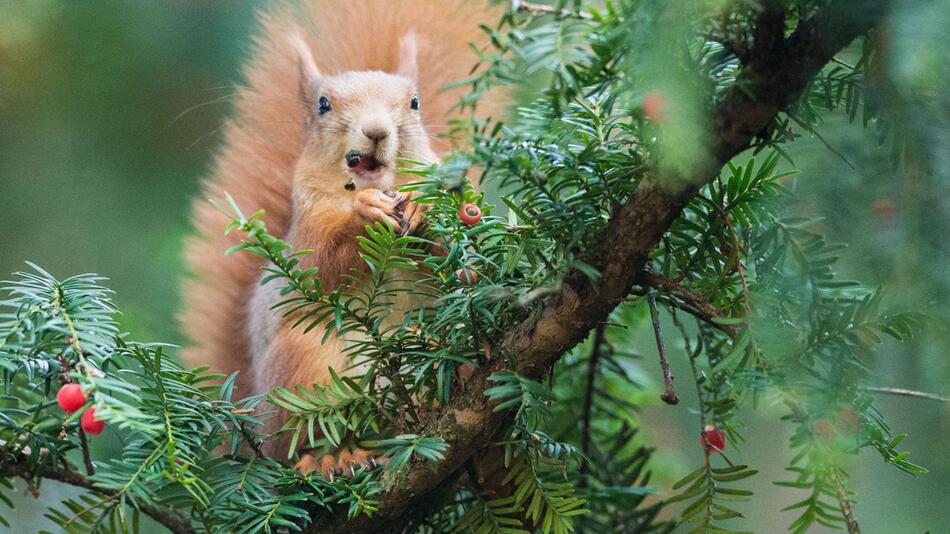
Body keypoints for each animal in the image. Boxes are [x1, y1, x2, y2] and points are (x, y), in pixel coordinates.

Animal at [180, 0, 506, 478]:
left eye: (414, 102)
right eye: (323, 104)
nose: (376, 130)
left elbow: (464, 270)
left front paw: (423, 210)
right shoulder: (305, 233)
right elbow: (317, 268)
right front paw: (364, 217)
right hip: (303, 371)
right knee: (301, 444)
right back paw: (331, 458)